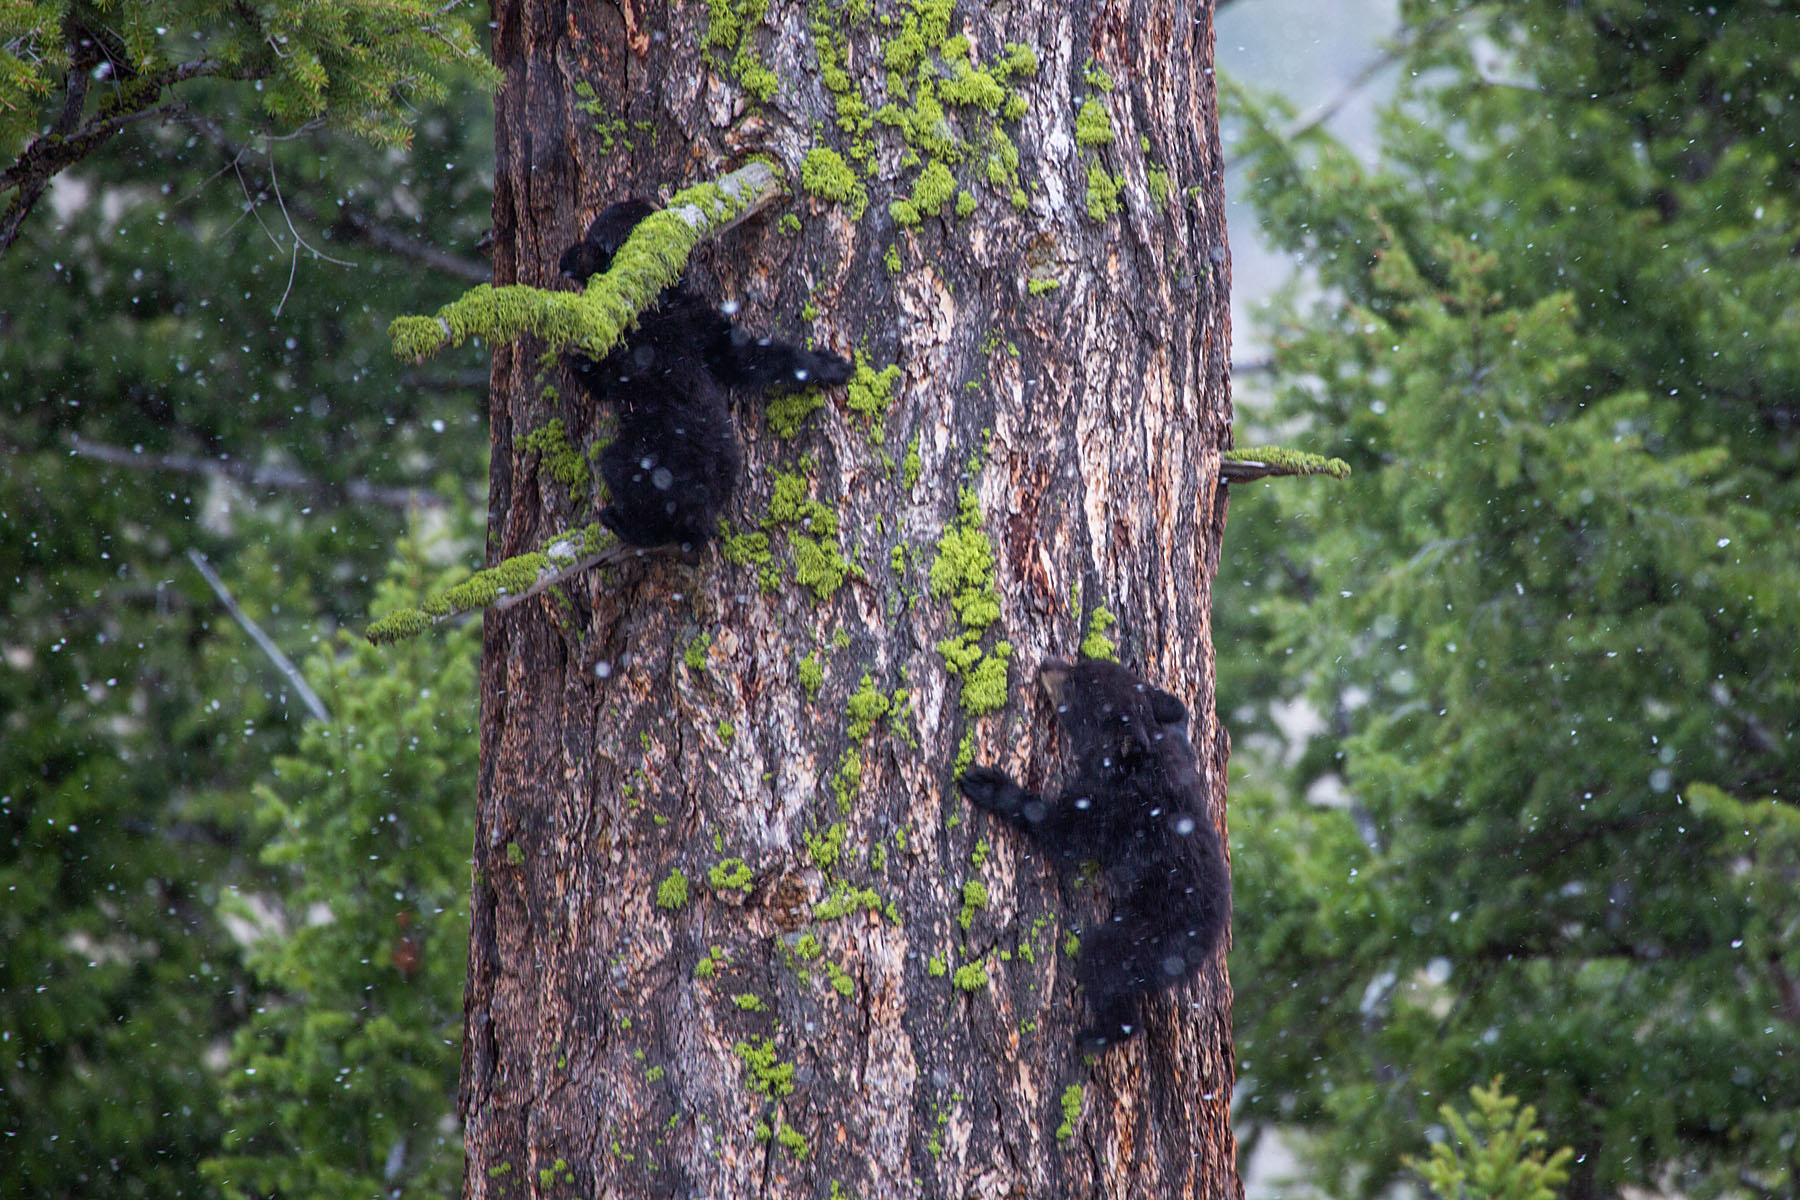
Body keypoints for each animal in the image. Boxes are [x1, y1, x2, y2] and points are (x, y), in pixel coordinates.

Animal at [557, 198, 853, 553]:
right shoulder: (698, 323)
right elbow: (744, 355)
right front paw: (831, 366)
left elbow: (599, 376)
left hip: (645, 460)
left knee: (628, 482)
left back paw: (624, 523)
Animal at [958, 658, 1229, 1050]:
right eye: (1083, 663)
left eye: (1078, 684)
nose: (1047, 663)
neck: (1132, 761)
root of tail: (1209, 941)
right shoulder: (1177, 752)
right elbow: (1178, 722)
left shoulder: (1115, 808)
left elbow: (1063, 833)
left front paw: (991, 785)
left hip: (1158, 935)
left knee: (1107, 963)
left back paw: (1094, 1037)